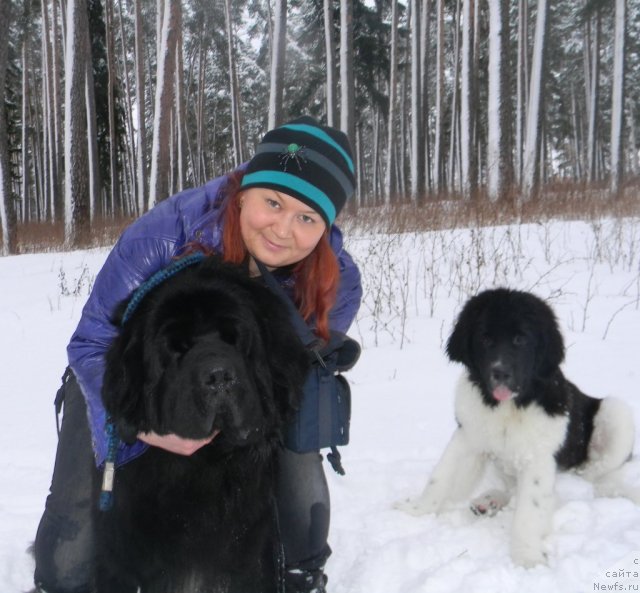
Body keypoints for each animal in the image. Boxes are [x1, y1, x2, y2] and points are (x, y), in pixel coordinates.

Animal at [398, 290, 636, 568]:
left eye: (520, 339)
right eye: (485, 339)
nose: (500, 372)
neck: (509, 407)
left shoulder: (538, 458)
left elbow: (529, 511)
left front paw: (527, 557)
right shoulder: (468, 436)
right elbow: (440, 477)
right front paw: (415, 511)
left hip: (616, 413)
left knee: (586, 481)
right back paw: (489, 501)